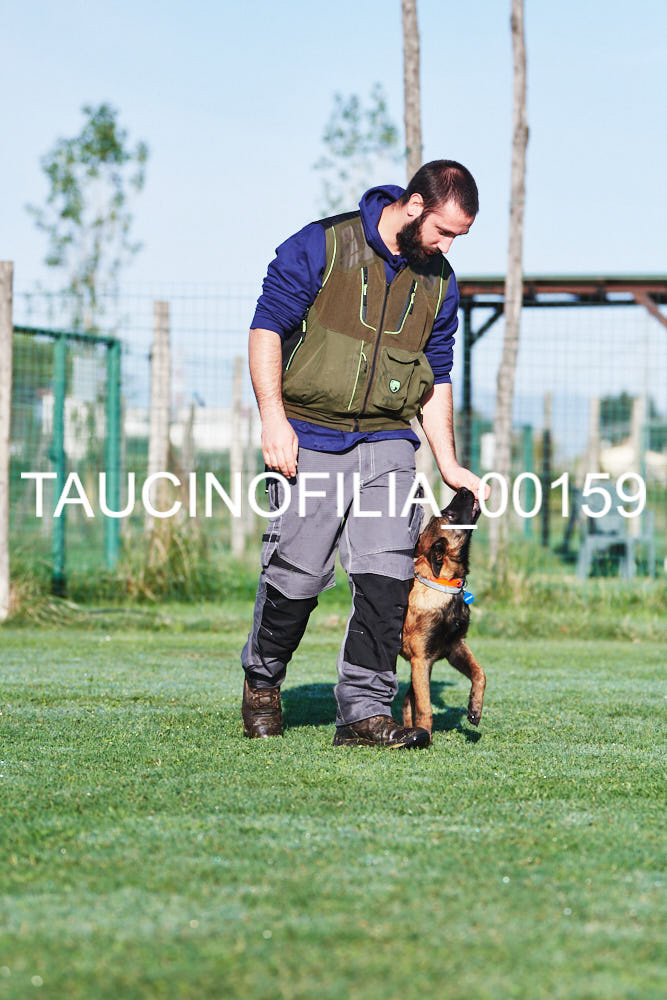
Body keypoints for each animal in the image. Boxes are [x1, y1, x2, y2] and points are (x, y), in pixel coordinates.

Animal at [400, 487, 485, 739]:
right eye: (449, 515)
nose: (465, 488)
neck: (443, 584)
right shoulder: (421, 659)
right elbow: (425, 706)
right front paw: (425, 735)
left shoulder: (454, 647)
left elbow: (480, 673)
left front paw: (474, 708)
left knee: (406, 700)